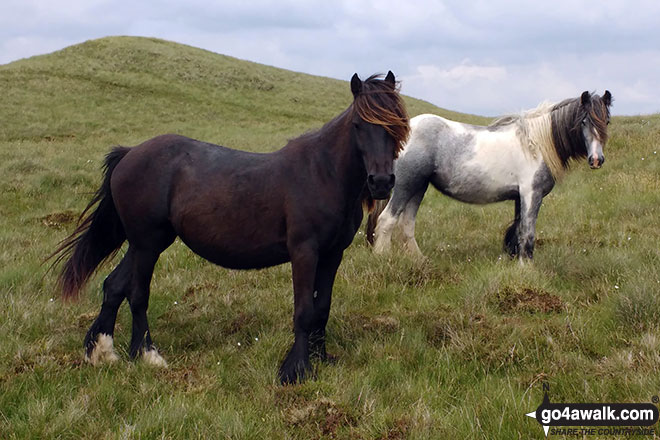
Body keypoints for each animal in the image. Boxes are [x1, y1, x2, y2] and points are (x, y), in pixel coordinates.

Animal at [51, 70, 410, 384]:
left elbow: (322, 308)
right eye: (359, 125)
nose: (380, 182)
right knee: (137, 293)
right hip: (147, 243)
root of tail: (130, 153)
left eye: (397, 125)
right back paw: (148, 355)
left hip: (147, 242)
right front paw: (295, 369)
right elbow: (305, 310)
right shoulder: (304, 251)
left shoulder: (333, 254)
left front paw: (320, 358)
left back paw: (101, 351)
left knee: (115, 286)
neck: (322, 173)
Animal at [368, 91, 612, 260]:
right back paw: (383, 259)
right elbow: (527, 233)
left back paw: (419, 261)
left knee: (407, 224)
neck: (535, 144)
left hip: (419, 186)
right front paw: (526, 268)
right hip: (406, 185)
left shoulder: (520, 197)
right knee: (387, 220)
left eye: (606, 121)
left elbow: (517, 231)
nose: (596, 160)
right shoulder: (531, 194)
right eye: (583, 121)